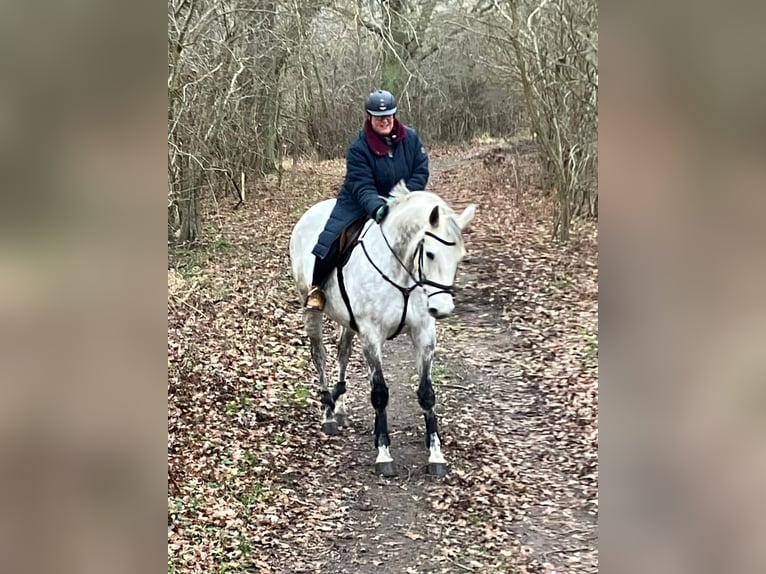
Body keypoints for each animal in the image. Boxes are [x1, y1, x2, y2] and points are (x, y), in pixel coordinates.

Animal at [292, 183, 476, 476]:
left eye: (459, 257)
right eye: (430, 253)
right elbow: (379, 393)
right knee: (319, 355)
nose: (443, 308)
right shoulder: (371, 335)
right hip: (311, 309)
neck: (403, 274)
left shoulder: (424, 333)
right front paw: (383, 453)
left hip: (348, 321)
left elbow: (427, 394)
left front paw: (436, 455)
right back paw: (328, 413)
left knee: (342, 352)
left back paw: (339, 408)